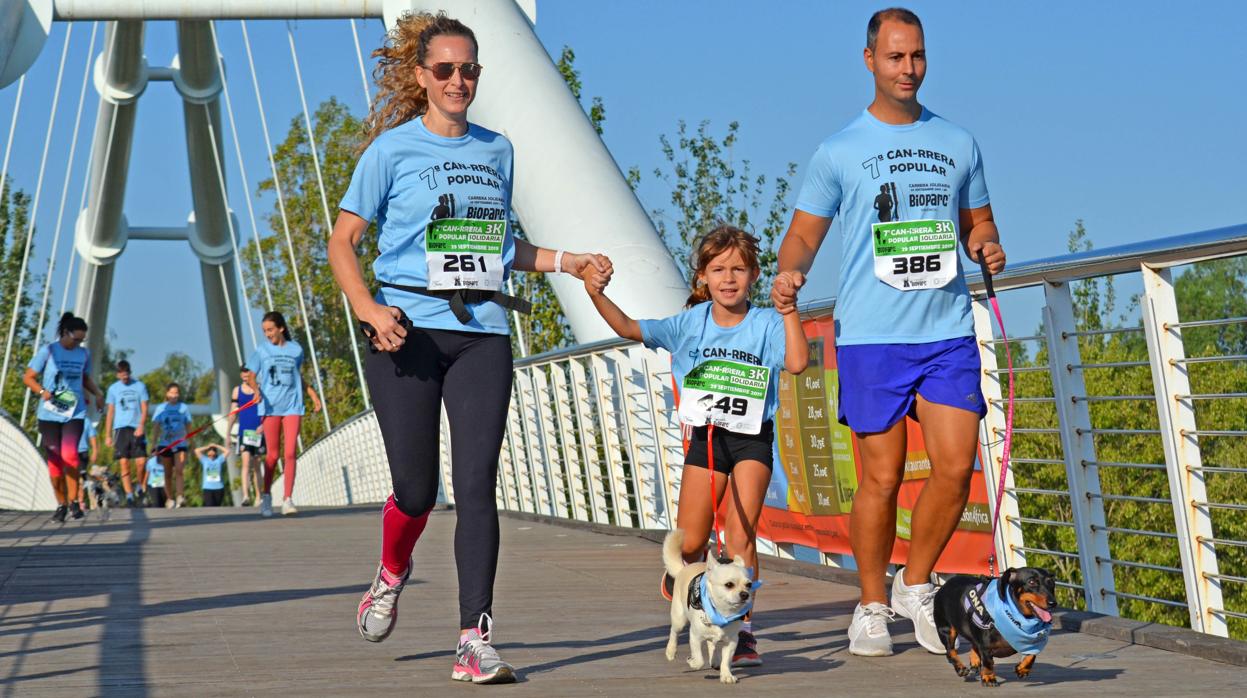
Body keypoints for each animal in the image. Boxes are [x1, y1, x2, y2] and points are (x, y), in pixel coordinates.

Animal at [658, 530, 753, 683]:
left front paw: (726, 675)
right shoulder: (695, 637)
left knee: (711, 644)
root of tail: (684, 568)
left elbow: (726, 660)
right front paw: (692, 662)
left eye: (749, 585)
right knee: (674, 632)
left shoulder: (732, 641)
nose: (745, 594)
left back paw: (715, 661)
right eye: (729, 585)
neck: (723, 614)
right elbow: (699, 660)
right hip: (679, 619)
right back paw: (670, 651)